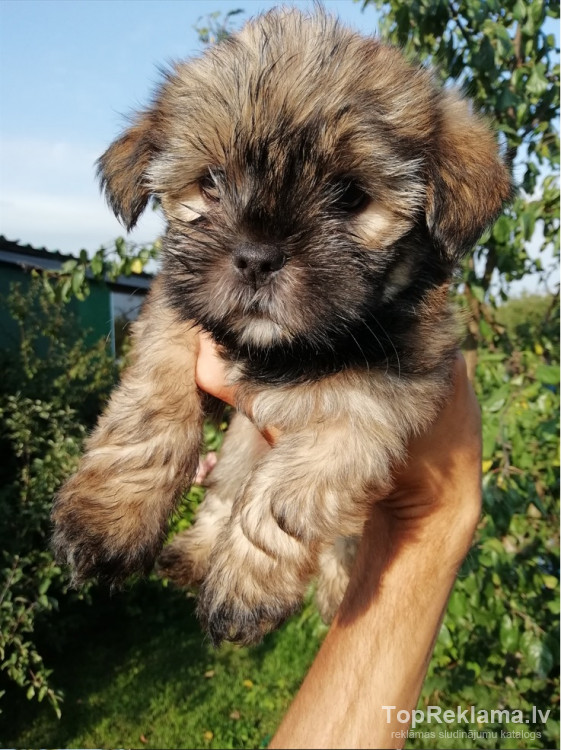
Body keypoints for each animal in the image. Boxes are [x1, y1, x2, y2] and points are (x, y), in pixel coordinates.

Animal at [52, 7, 511, 646]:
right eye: (211, 182)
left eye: (350, 195)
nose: (256, 257)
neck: (288, 350)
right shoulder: (179, 316)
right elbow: (151, 408)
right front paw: (107, 521)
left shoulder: (385, 391)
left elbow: (290, 489)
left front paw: (246, 587)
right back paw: (192, 553)